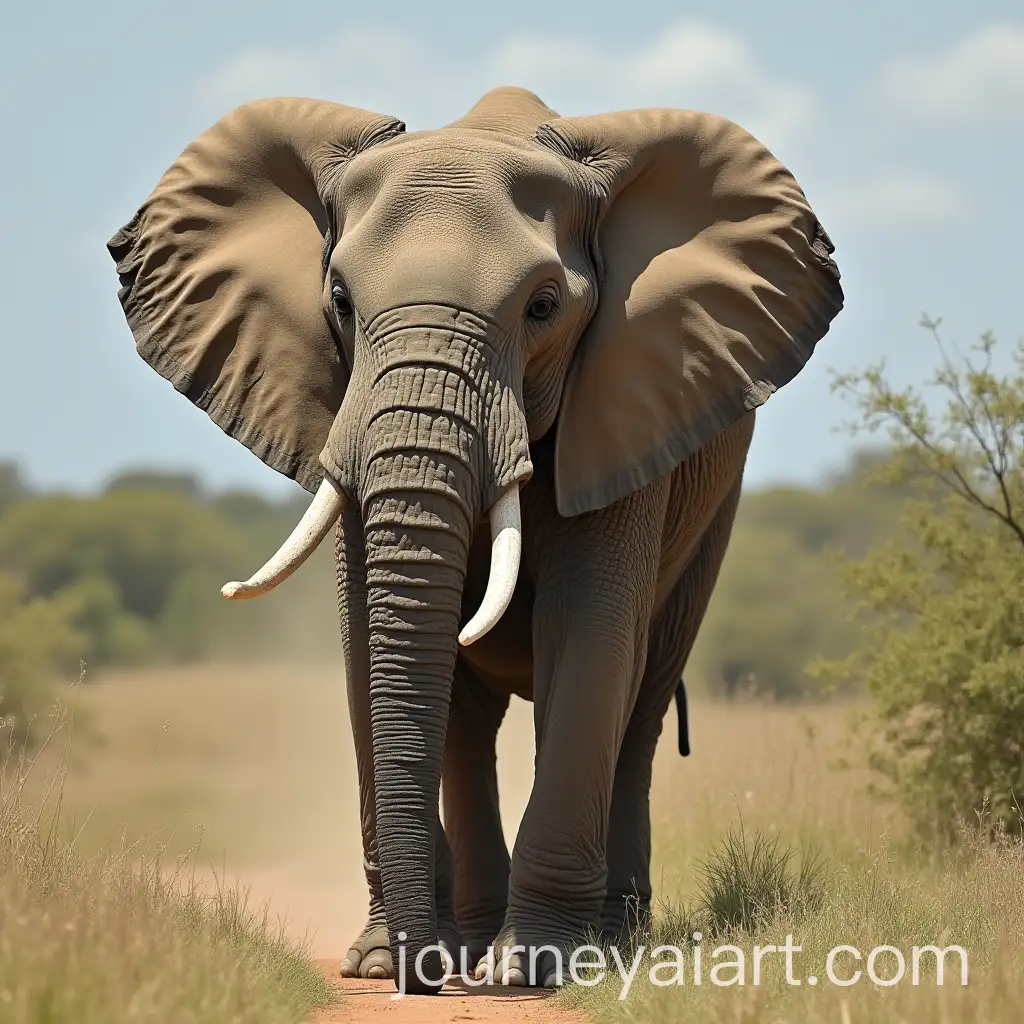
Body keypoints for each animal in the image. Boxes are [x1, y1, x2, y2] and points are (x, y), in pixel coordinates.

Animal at [106, 86, 842, 993]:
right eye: (340, 301)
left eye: (543, 307)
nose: (416, 975)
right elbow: (368, 642)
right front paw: (383, 962)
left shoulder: (627, 399)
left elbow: (588, 632)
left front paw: (536, 967)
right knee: (469, 719)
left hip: (710, 518)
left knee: (639, 700)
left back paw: (604, 938)